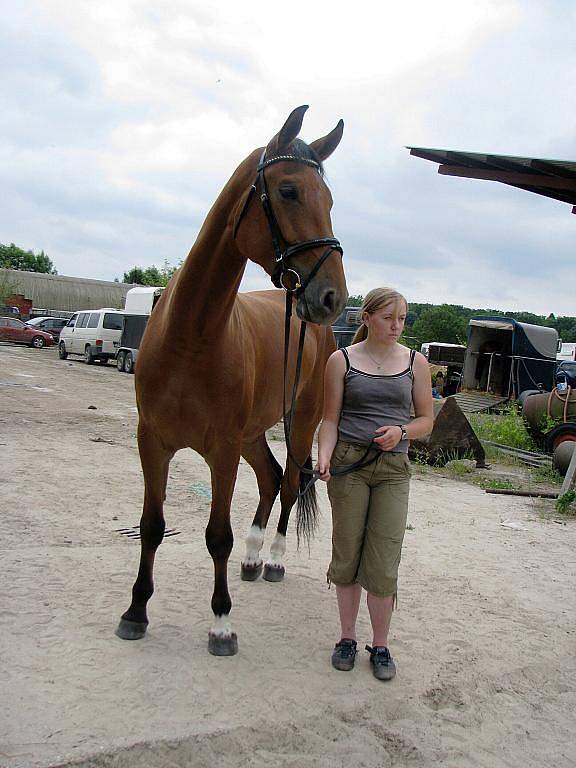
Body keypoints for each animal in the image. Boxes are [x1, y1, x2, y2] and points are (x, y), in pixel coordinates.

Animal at [113, 103, 346, 656]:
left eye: (329, 199)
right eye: (289, 191)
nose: (332, 297)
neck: (191, 337)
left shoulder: (220, 450)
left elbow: (217, 535)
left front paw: (221, 624)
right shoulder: (152, 442)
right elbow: (151, 526)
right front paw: (135, 611)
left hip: (298, 423)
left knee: (289, 482)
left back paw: (274, 558)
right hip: (251, 434)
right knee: (270, 478)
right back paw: (253, 558)